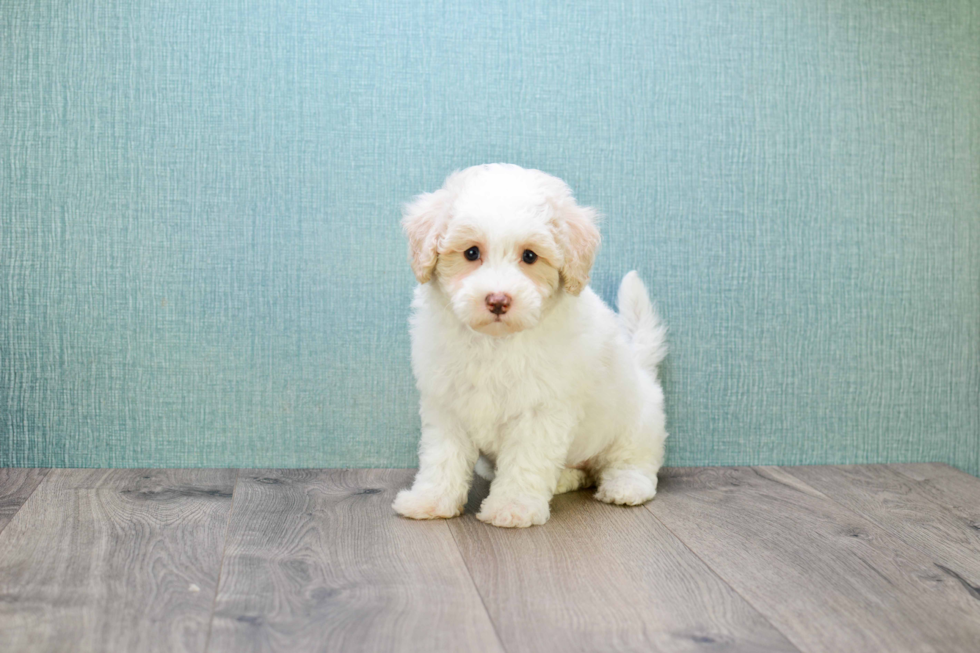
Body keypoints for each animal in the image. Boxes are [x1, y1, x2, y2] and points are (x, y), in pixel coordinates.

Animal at [390, 164, 668, 528]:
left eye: (530, 256)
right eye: (471, 253)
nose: (497, 300)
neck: (495, 342)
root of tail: (641, 366)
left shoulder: (540, 411)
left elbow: (525, 461)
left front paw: (513, 507)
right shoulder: (447, 403)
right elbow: (442, 457)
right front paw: (430, 500)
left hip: (635, 423)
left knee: (632, 460)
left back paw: (626, 486)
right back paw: (566, 478)